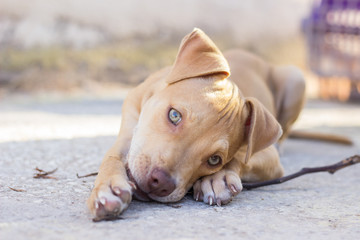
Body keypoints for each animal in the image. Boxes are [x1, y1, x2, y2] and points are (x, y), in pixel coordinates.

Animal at [87, 28, 304, 219]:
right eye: (174, 115)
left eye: (214, 160)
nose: (160, 183)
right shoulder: (129, 132)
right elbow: (112, 157)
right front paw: (107, 187)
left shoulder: (269, 157)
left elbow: (240, 158)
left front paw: (219, 178)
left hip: (296, 78)